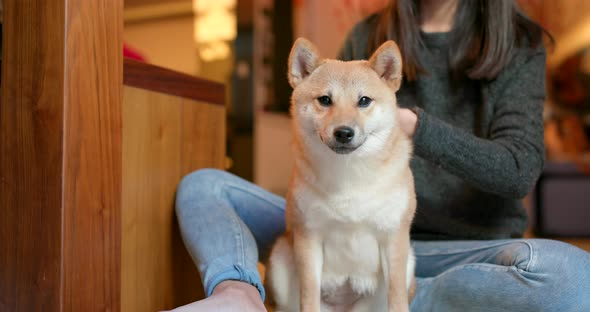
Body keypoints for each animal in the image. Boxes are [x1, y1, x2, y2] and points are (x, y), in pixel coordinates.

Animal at [266, 39, 418, 312]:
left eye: (364, 100)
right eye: (325, 100)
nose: (344, 132)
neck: (349, 175)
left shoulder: (394, 237)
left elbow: (397, 297)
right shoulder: (308, 236)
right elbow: (309, 296)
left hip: (408, 262)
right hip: (281, 258)